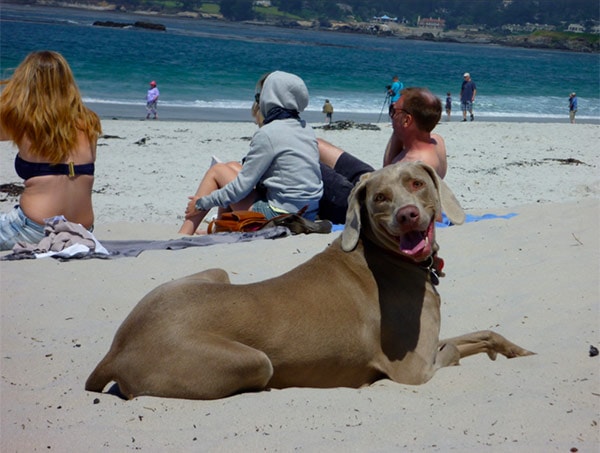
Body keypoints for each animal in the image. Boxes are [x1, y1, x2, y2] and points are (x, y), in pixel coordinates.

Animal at [86, 162, 532, 400]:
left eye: (417, 183)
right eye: (380, 198)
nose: (407, 215)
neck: (384, 255)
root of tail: (115, 351)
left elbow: (480, 333)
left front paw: (515, 350)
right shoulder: (415, 370)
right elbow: (454, 348)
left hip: (212, 274)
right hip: (252, 360)